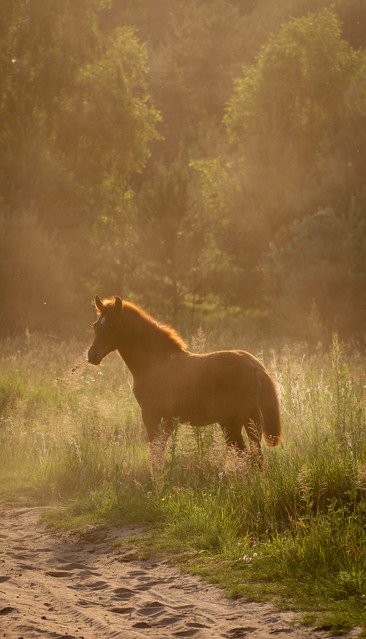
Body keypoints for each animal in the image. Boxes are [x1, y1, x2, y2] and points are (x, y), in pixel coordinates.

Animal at [87, 298, 282, 462]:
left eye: (113, 326)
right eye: (95, 325)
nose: (92, 355)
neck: (155, 361)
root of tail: (255, 367)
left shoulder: (151, 414)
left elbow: (155, 452)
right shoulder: (169, 418)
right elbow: (160, 449)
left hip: (231, 423)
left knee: (244, 456)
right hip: (252, 420)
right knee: (257, 457)